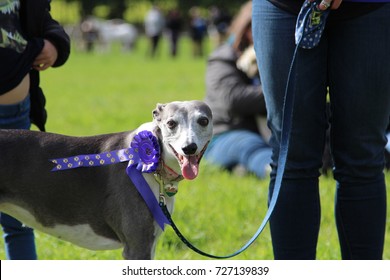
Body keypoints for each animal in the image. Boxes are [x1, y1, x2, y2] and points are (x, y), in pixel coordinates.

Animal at [0, 100, 213, 260]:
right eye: (171, 123)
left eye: (203, 120)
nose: (189, 148)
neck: (153, 162)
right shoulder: (137, 247)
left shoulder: (149, 244)